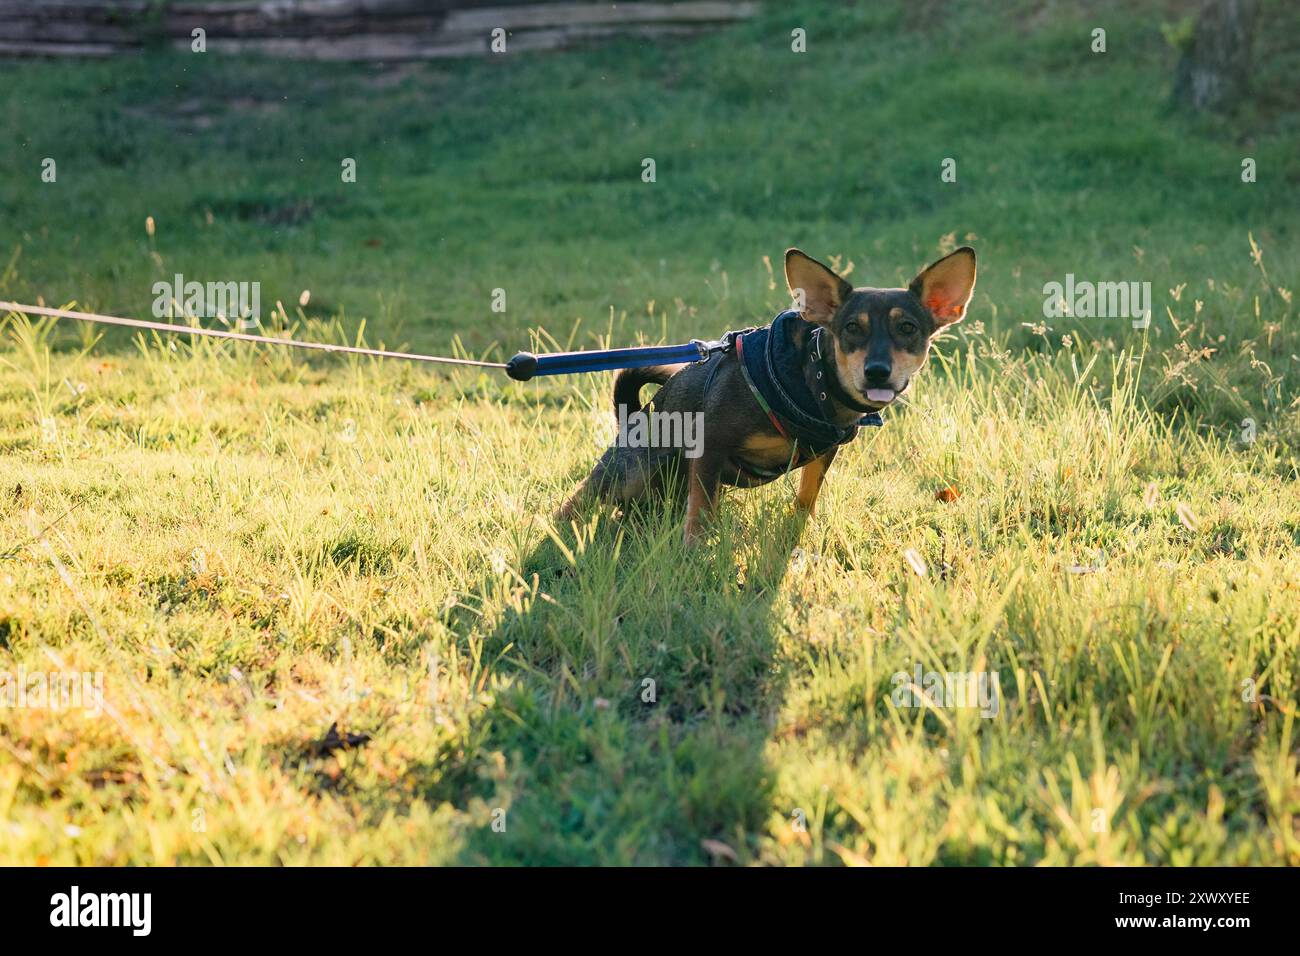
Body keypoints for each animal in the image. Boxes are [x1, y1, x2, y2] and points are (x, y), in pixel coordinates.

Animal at [559, 247, 977, 546]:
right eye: (851, 328)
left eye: (907, 328)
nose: (877, 371)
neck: (812, 382)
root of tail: (633, 416)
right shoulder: (710, 446)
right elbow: (702, 513)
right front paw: (694, 552)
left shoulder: (823, 454)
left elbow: (806, 498)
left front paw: (797, 535)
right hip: (627, 472)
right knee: (580, 500)